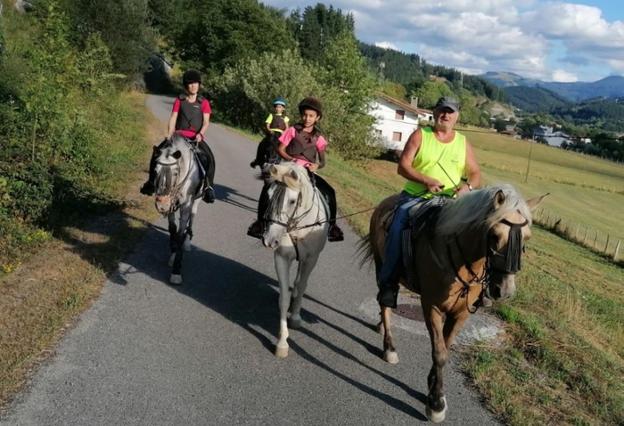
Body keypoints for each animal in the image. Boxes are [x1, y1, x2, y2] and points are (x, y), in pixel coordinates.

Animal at [154, 135, 205, 284]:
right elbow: (172, 229)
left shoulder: (186, 205)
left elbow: (181, 233)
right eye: (155, 170)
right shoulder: (171, 206)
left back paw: (187, 242)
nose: (162, 204)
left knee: (192, 218)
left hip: (197, 201)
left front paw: (176, 271)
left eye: (176, 172)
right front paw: (172, 255)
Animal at [264, 163, 332, 360]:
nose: (269, 240)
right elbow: (284, 298)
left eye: (292, 201)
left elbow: (302, 287)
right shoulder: (281, 257)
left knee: (300, 282)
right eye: (268, 195)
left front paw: (295, 318)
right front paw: (282, 342)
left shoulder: (311, 259)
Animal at [360, 185, 544, 422]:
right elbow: (439, 353)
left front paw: (431, 385)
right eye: (495, 236)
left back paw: (380, 326)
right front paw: (436, 403)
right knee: (385, 303)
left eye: (527, 237)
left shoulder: (461, 314)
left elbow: (446, 347)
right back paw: (389, 346)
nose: (505, 291)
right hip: (381, 264)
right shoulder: (432, 307)